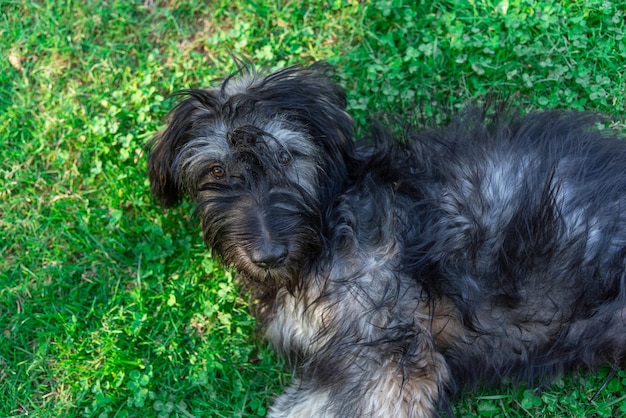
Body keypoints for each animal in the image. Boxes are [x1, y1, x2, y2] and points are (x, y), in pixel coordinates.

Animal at [147, 62, 624, 418]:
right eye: (217, 170)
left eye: (285, 156)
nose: (268, 255)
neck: (328, 229)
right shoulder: (345, 364)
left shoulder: (389, 363)